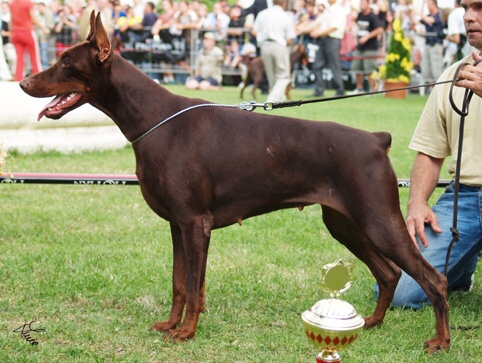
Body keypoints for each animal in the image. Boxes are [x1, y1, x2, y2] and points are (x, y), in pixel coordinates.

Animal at [18, 12, 450, 354]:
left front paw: (186, 333)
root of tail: (377, 139)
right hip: (345, 222)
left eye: (64, 62)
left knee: (434, 278)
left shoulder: (196, 223)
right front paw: (170, 325)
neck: (152, 119)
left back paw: (440, 341)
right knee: (389, 273)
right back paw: (372, 324)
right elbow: (180, 283)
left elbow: (194, 285)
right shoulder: (178, 224)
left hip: (378, 218)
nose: (22, 84)